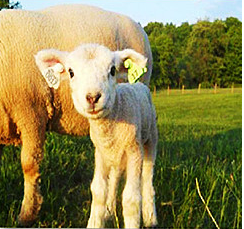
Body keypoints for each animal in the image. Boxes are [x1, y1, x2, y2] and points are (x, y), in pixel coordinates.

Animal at [34, 43, 158, 228]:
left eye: (113, 70)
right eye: (71, 72)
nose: (93, 97)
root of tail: (137, 85)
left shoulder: (134, 152)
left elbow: (131, 198)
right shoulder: (100, 152)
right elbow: (98, 190)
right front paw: (97, 220)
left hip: (150, 138)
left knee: (147, 178)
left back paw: (151, 217)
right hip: (115, 157)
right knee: (114, 178)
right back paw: (109, 211)